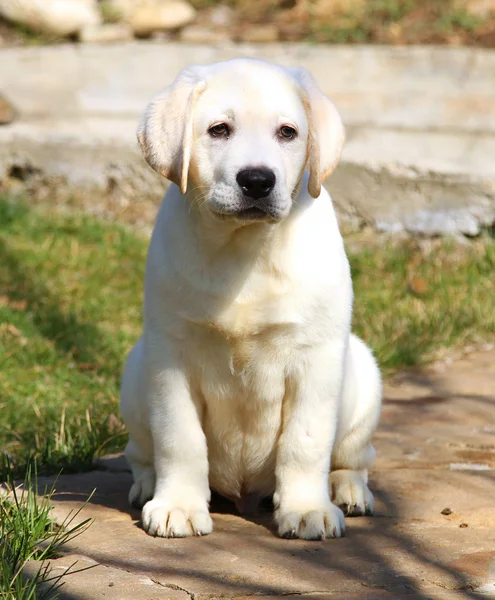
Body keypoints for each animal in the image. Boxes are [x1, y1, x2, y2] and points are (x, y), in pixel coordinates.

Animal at [121, 58, 384, 540]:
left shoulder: (315, 359)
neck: (244, 248)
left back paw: (347, 490)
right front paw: (178, 505)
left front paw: (306, 509)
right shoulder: (172, 357)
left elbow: (305, 442)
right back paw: (148, 484)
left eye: (287, 132)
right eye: (219, 129)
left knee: (353, 457)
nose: (258, 181)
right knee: (141, 452)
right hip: (135, 370)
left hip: (363, 379)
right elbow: (179, 439)